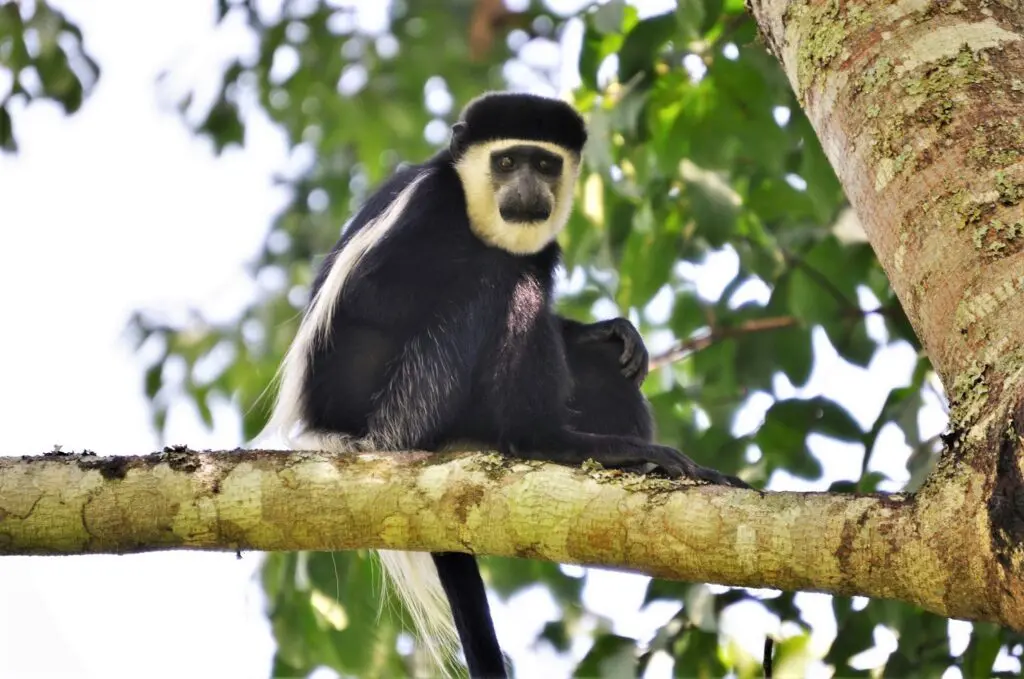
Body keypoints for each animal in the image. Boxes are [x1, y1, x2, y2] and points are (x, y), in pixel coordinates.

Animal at [259, 91, 748, 678]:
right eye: (507, 161)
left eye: (546, 164)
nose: (529, 192)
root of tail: (334, 430)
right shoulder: (428, 206)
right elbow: (377, 296)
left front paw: (605, 328)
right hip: (404, 402)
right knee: (503, 281)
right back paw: (553, 442)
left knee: (593, 359)